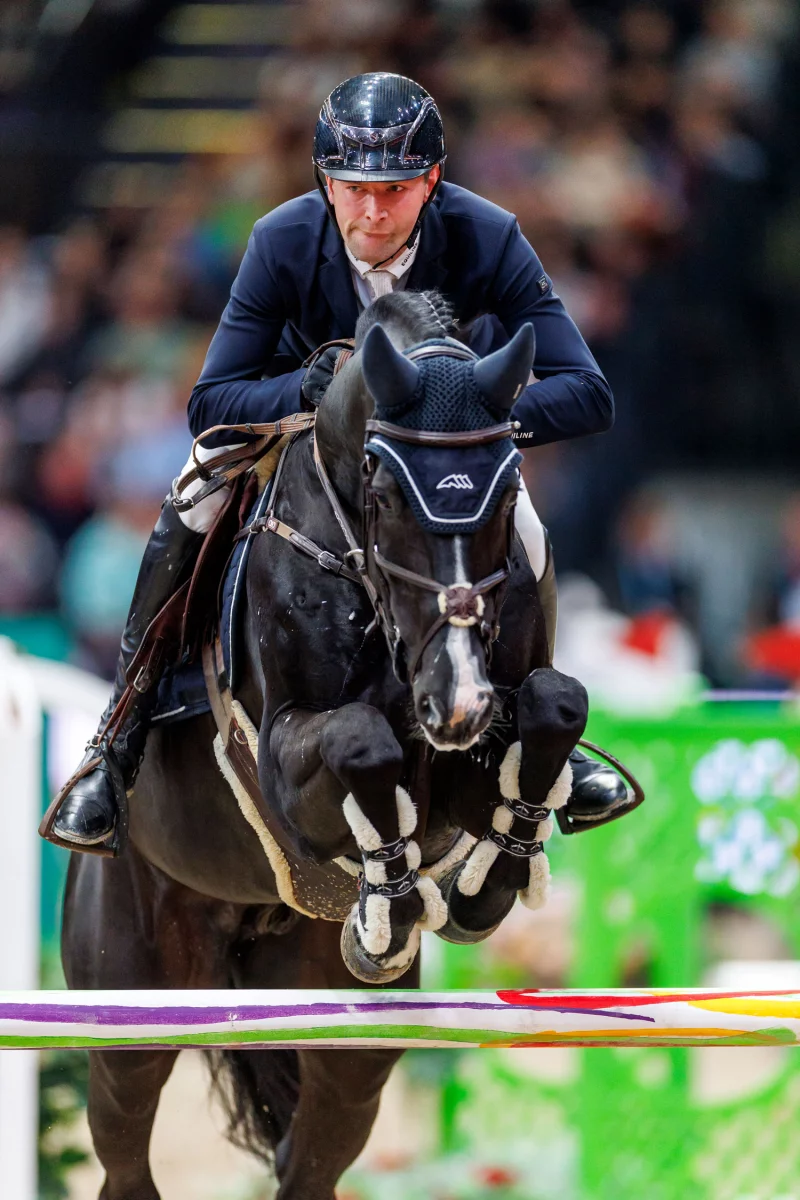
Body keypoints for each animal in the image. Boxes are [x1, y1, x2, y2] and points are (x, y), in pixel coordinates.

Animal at [61, 290, 588, 1200]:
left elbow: (555, 706)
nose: (456, 700)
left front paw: (482, 885)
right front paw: (396, 901)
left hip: (343, 1051)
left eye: (507, 486)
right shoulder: (280, 761)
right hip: (130, 1008)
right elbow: (362, 743)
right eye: (384, 488)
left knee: (309, 1161)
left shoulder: (478, 744)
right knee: (126, 1153)